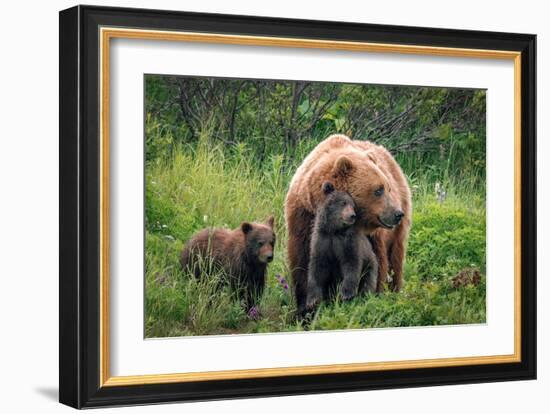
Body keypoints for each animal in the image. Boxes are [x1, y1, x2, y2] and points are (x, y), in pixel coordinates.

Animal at [286, 134, 412, 316]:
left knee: (395, 259)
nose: (397, 213)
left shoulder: (370, 237)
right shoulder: (303, 217)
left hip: (398, 229)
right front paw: (305, 310)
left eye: (387, 188)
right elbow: (303, 263)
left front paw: (370, 299)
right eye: (378, 190)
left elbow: (373, 263)